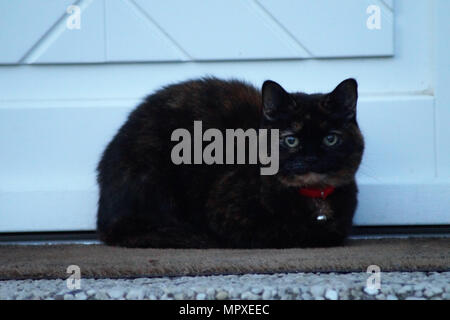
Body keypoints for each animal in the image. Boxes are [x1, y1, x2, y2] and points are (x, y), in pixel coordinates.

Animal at [96, 76, 364, 249]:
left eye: (331, 139)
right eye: (290, 140)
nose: (311, 158)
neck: (316, 198)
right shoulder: (226, 213)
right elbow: (289, 232)